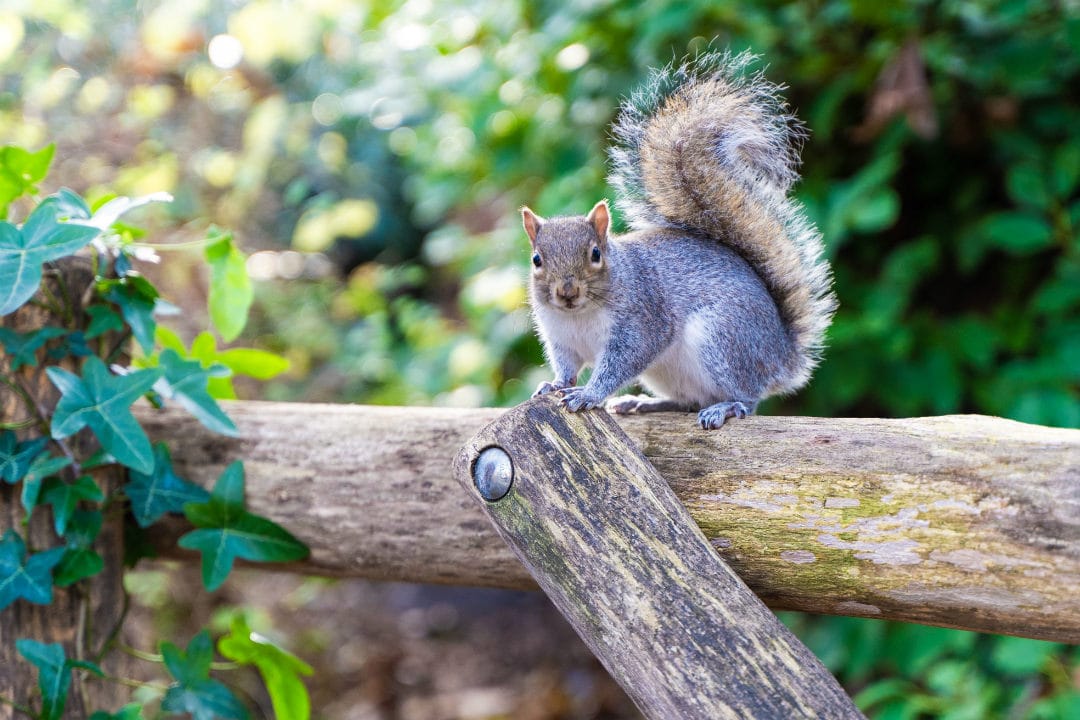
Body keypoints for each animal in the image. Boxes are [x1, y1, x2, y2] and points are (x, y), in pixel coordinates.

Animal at [521, 51, 837, 429]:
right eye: (537, 260)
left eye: (595, 254)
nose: (567, 292)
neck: (577, 315)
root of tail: (781, 356)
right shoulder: (561, 338)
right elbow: (567, 368)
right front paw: (554, 385)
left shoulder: (642, 321)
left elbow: (620, 363)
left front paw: (589, 393)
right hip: (671, 372)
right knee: (688, 401)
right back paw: (644, 403)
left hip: (723, 339)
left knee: (747, 398)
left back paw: (727, 407)